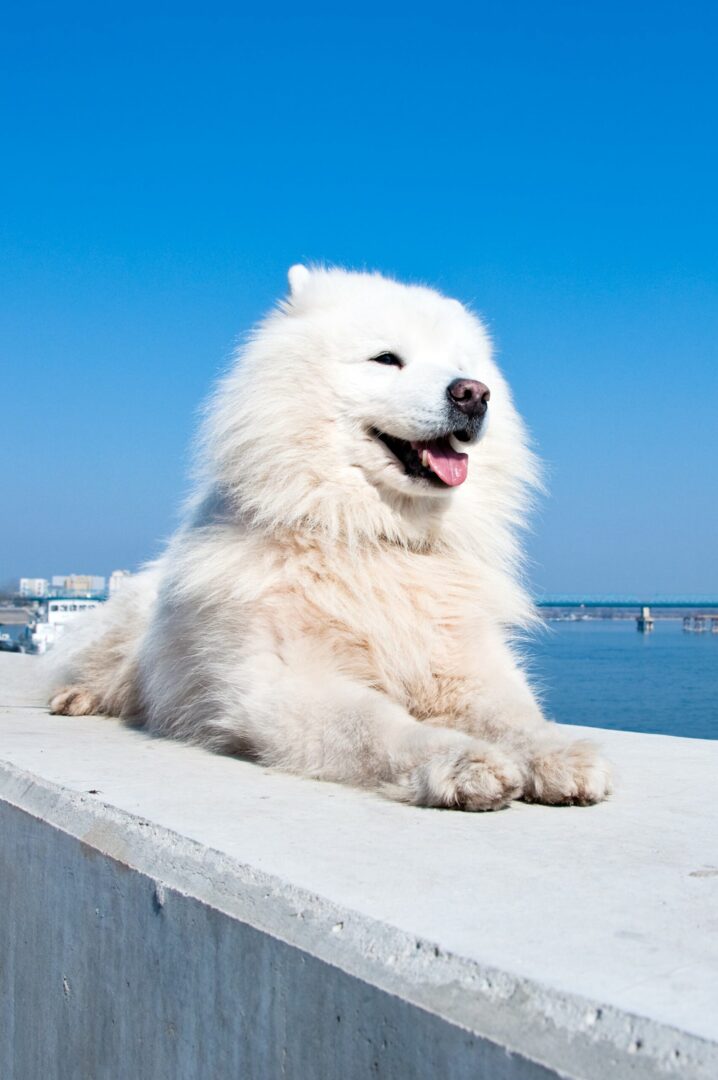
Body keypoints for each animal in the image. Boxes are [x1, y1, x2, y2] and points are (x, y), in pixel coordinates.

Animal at [49, 267, 608, 812]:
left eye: (464, 368)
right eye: (387, 359)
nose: (473, 393)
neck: (371, 534)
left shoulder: (465, 666)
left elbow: (516, 717)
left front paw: (558, 754)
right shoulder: (289, 683)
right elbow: (378, 726)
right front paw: (462, 763)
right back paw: (79, 696)